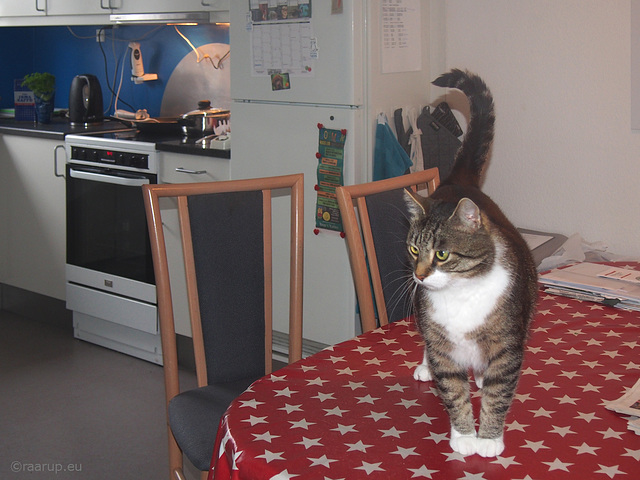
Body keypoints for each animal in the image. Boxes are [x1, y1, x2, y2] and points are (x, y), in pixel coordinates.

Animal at [404, 70, 540, 458]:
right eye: (414, 250)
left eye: (442, 254)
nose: (419, 277)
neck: (460, 293)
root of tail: (458, 183)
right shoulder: (441, 341)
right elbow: (452, 388)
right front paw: (464, 435)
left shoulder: (508, 345)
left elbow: (499, 392)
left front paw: (489, 439)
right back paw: (426, 367)